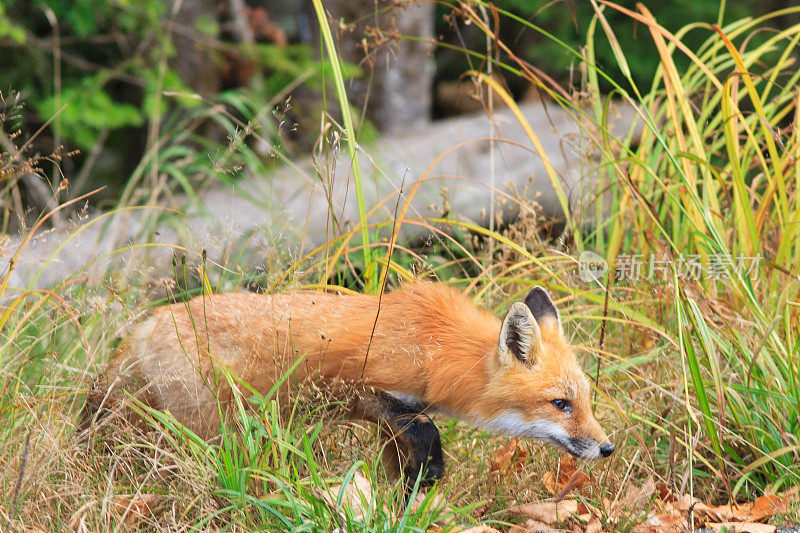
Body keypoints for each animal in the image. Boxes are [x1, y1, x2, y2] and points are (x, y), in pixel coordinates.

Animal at [86, 282, 612, 486]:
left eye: (585, 401)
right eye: (560, 404)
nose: (607, 448)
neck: (432, 344)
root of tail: (147, 324)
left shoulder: (394, 418)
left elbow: (402, 460)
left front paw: (409, 495)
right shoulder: (368, 392)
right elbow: (428, 434)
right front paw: (428, 479)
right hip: (204, 430)